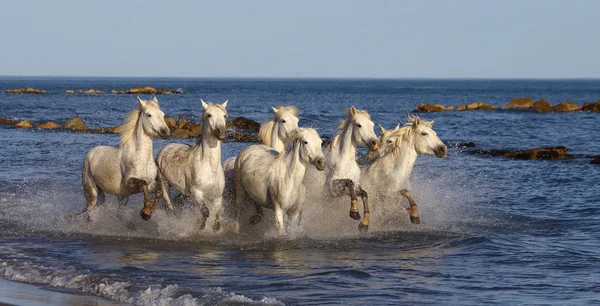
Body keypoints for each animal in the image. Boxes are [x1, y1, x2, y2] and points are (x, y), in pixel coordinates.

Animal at [156, 100, 229, 232]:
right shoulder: (197, 193)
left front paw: (215, 228)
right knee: (169, 205)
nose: (221, 133)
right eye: (209, 115)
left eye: (224, 115)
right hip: (164, 184)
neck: (209, 167)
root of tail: (164, 149)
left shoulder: (217, 196)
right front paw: (201, 227)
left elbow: (216, 214)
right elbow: (206, 212)